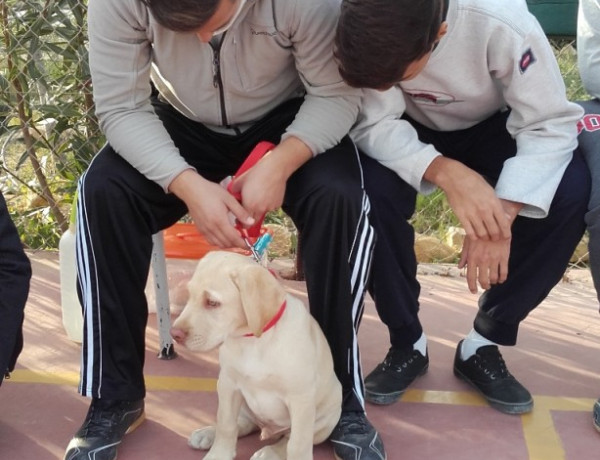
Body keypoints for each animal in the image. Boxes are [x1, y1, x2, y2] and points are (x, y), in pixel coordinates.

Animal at [170, 252, 342, 460]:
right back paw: (207, 434)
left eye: (212, 303)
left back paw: (270, 452)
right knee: (243, 424)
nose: (174, 334)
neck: (254, 340)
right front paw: (219, 454)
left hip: (326, 419)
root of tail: (268, 430)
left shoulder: (301, 398)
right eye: (189, 295)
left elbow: (297, 444)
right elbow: (226, 424)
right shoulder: (228, 384)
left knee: (287, 438)